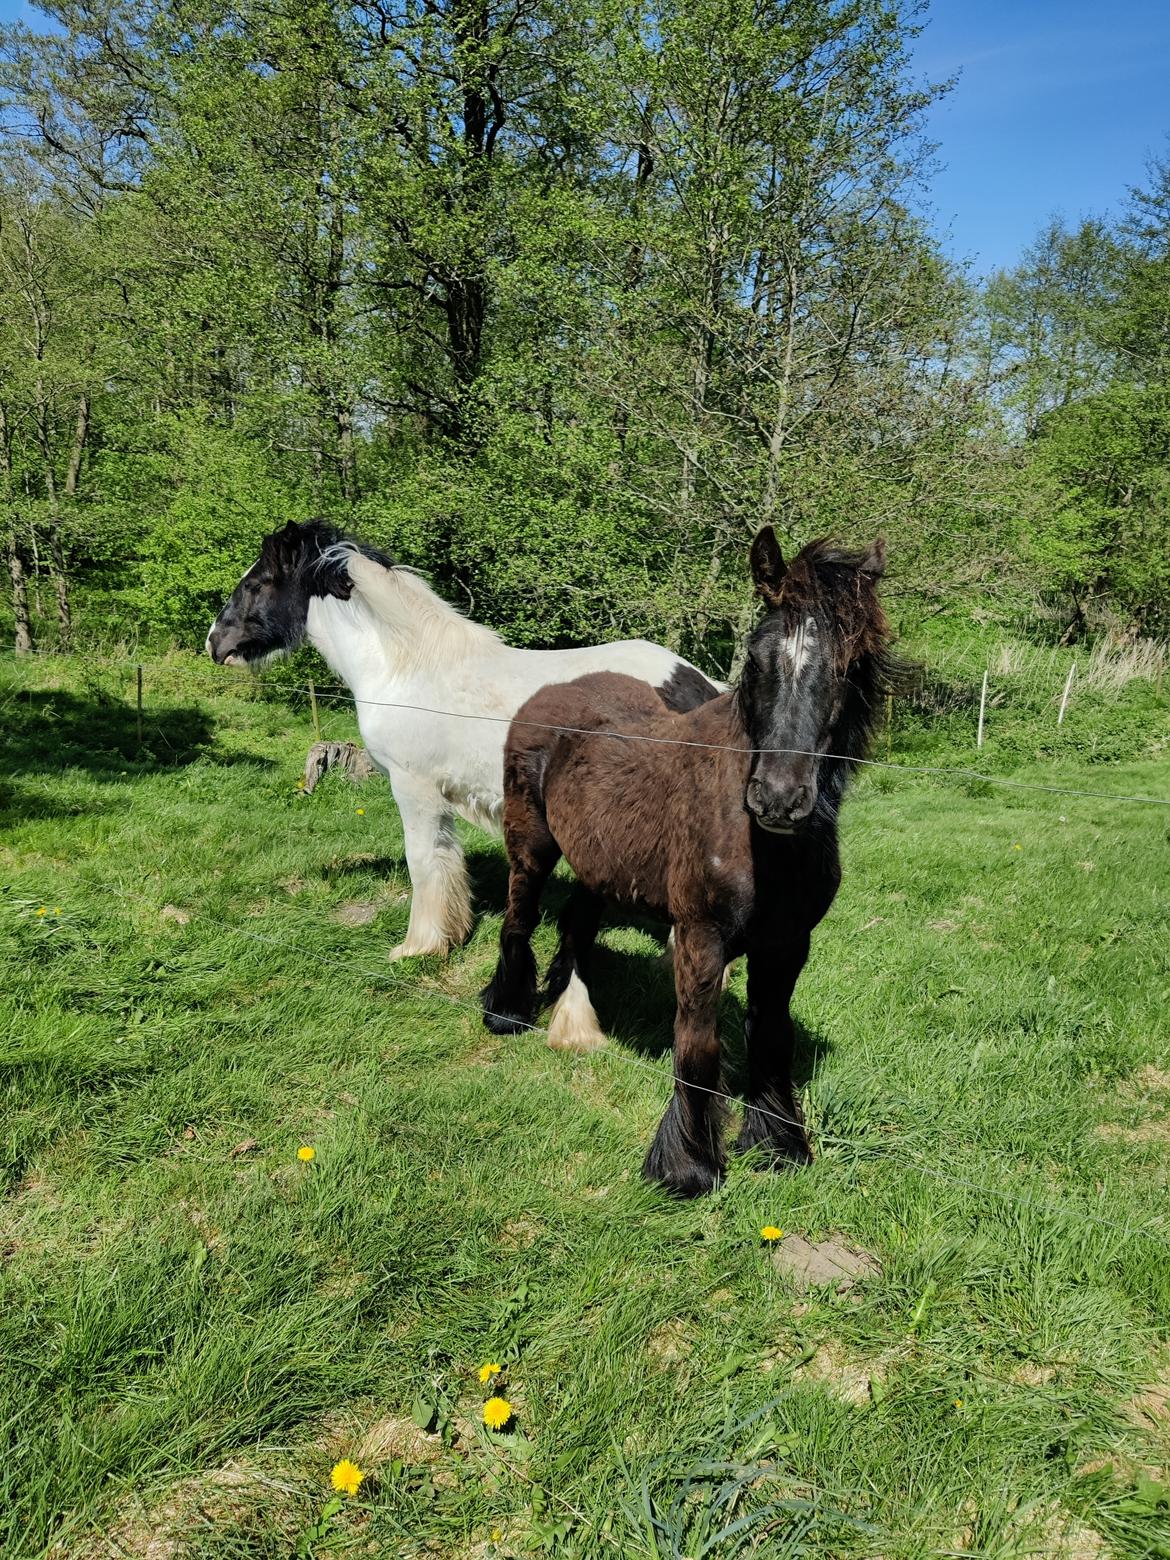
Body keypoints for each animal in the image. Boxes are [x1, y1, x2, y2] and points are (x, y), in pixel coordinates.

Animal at [210, 521, 723, 1048]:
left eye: (255, 583)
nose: (215, 643)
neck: (404, 669)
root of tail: (701, 686)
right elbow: (446, 860)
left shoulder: (413, 790)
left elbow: (423, 864)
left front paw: (419, 946)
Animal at [480, 530, 911, 1198]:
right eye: (756, 660)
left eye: (846, 667)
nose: (778, 798)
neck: (761, 845)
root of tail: (549, 695)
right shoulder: (701, 938)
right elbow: (699, 1047)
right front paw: (687, 1165)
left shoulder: (787, 945)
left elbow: (771, 1038)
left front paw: (779, 1144)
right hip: (531, 846)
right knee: (519, 918)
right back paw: (506, 1010)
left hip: (599, 862)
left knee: (577, 921)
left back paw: (568, 1003)